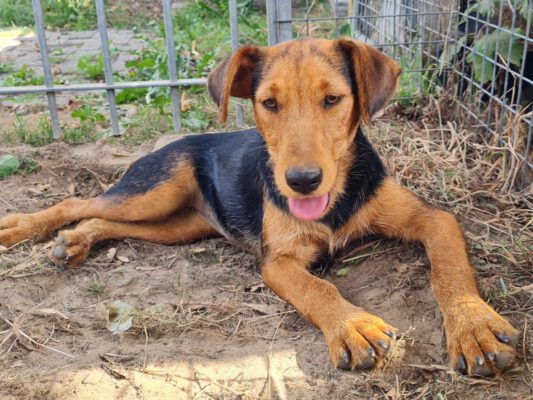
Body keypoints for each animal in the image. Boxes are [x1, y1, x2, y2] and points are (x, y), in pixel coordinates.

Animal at [0, 38, 518, 376]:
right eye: (269, 103)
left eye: (333, 99)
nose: (302, 182)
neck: (334, 203)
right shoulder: (279, 261)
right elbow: (318, 289)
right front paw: (354, 327)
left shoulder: (433, 219)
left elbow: (449, 268)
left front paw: (475, 328)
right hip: (155, 190)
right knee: (79, 199)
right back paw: (23, 228)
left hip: (178, 225)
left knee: (102, 219)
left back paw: (74, 241)